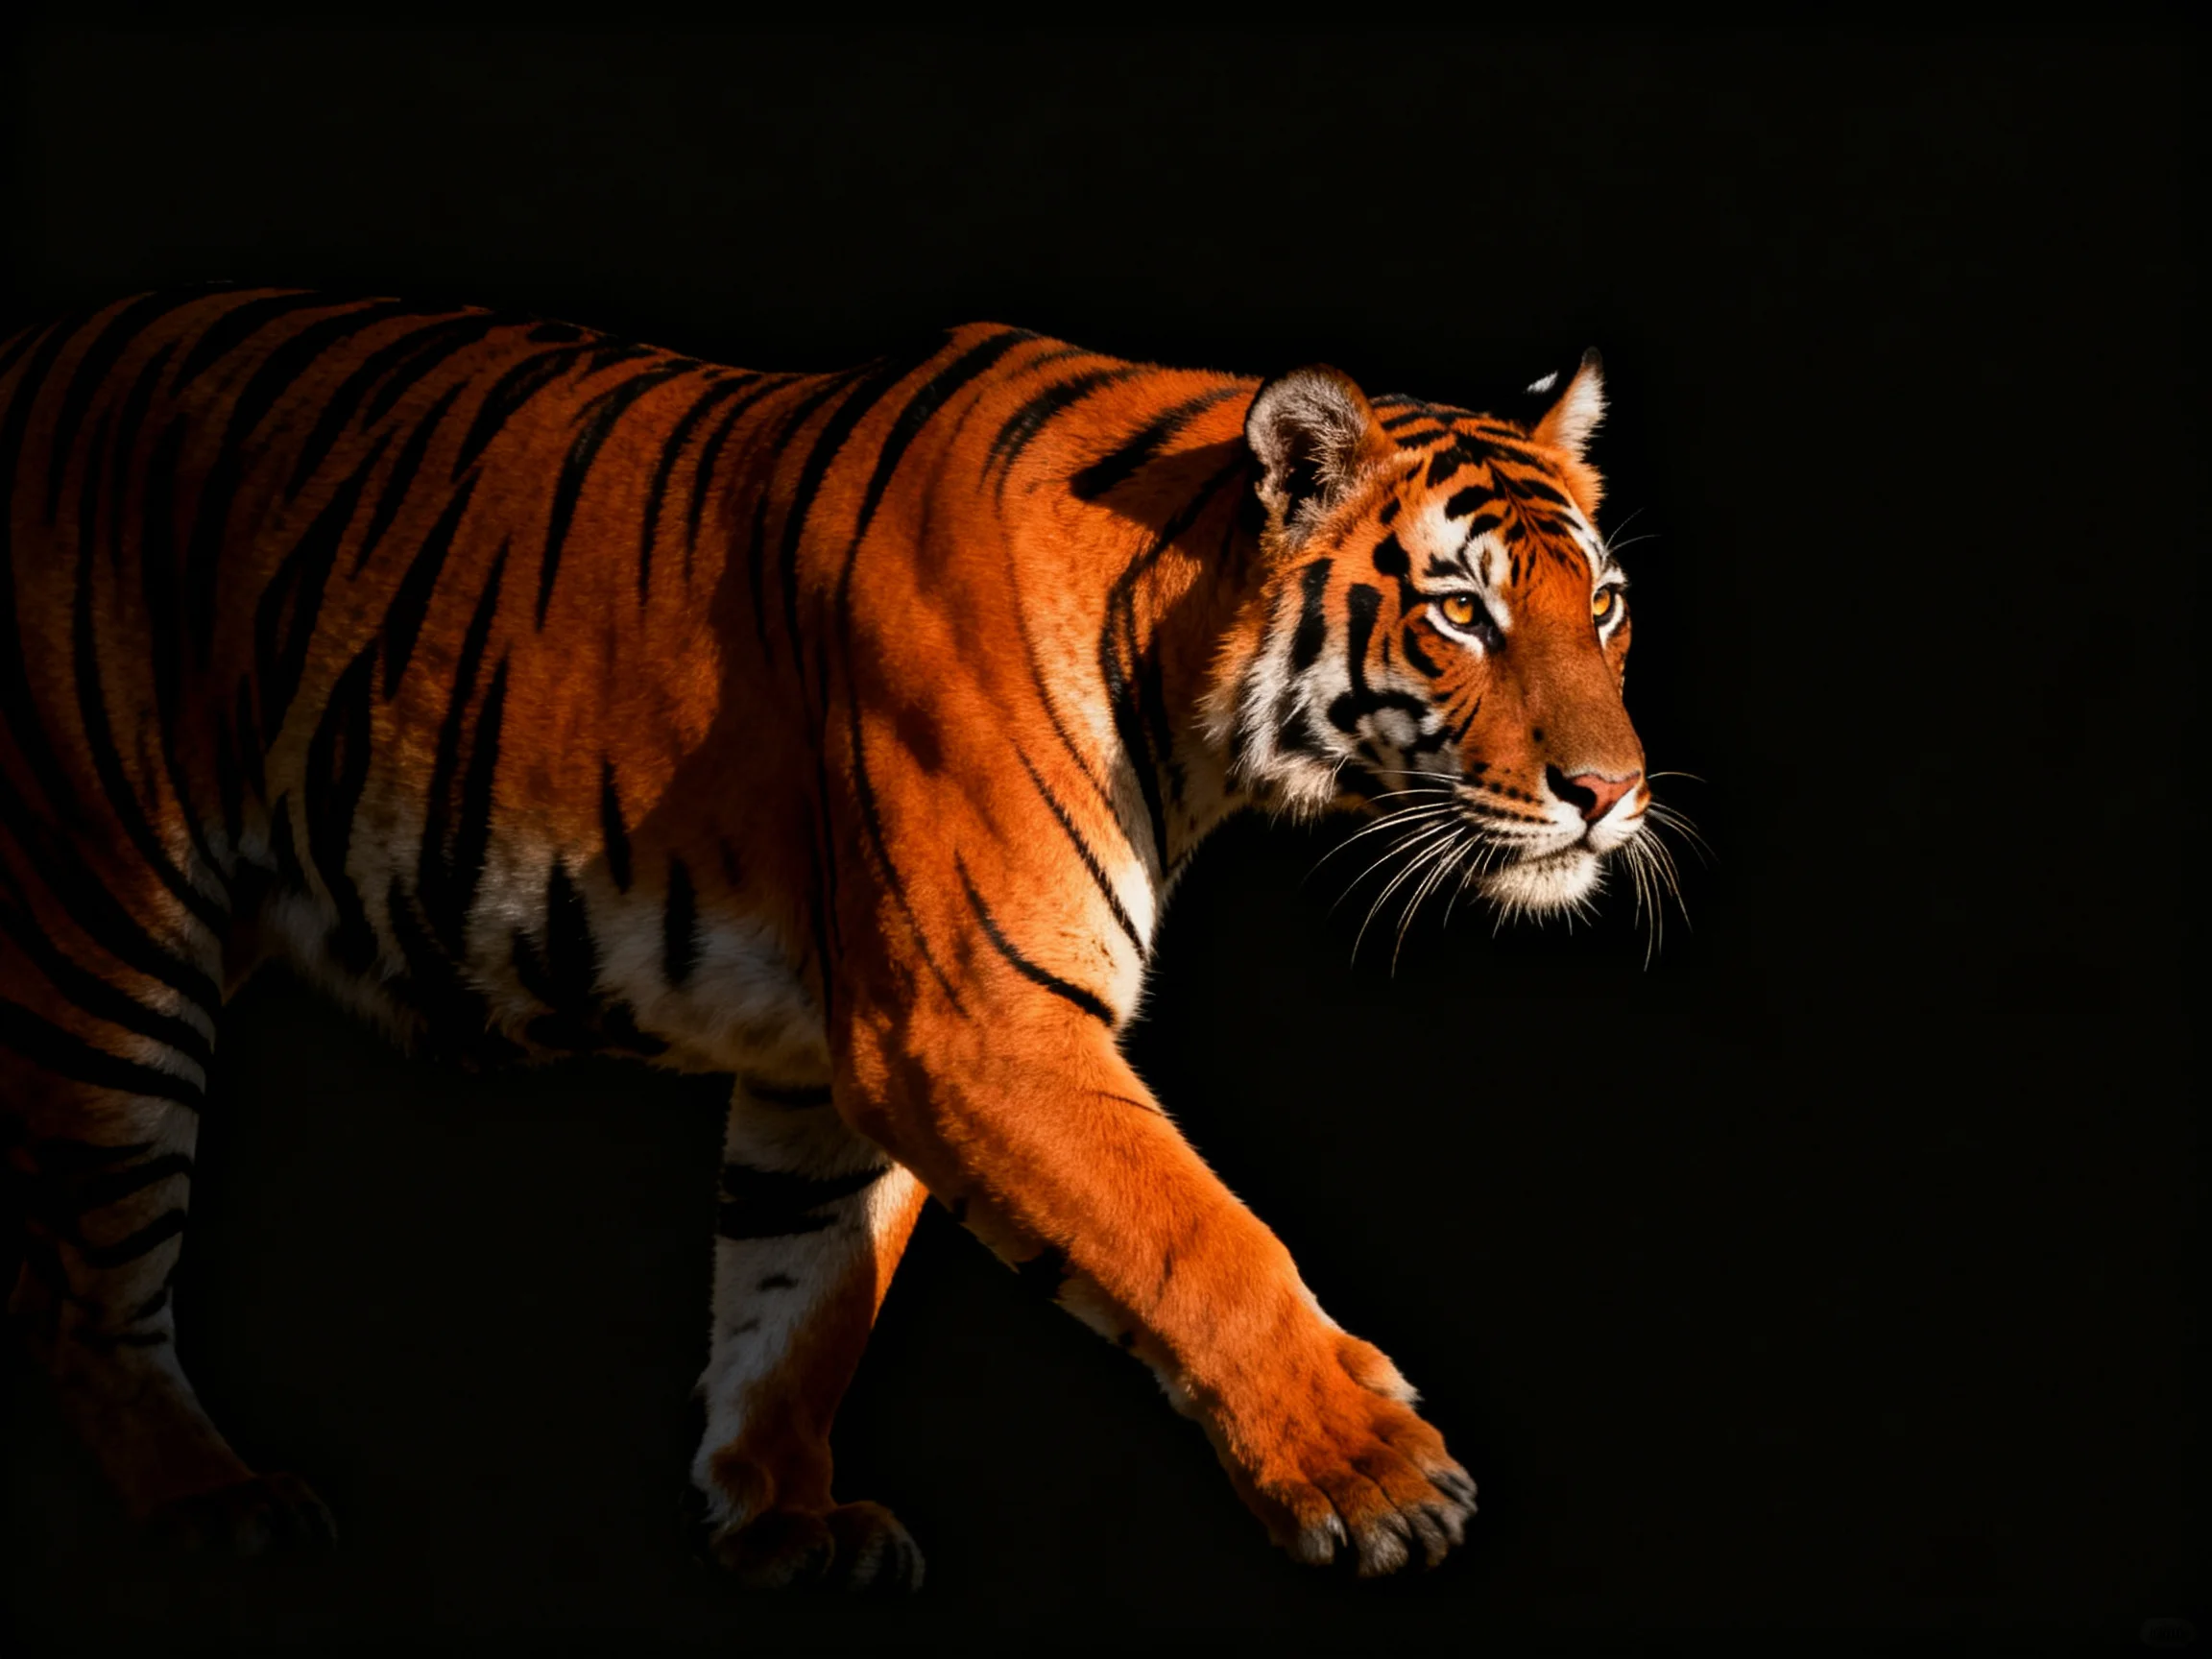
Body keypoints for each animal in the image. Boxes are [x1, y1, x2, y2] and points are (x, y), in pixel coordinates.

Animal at [0, 286, 1653, 1589]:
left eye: (1608, 605)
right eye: (1460, 613)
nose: (1613, 793)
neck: (1181, 664)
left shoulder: (832, 1055)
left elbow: (802, 1297)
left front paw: (781, 1519)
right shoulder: (982, 1021)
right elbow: (1198, 1238)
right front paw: (1374, 1476)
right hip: (110, 930)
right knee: (88, 1301)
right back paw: (212, 1505)